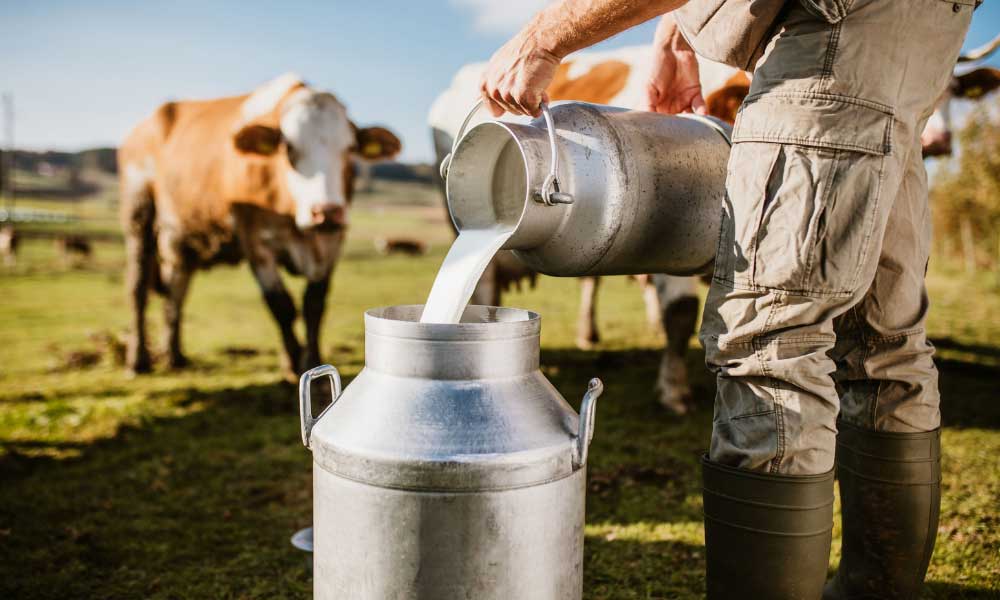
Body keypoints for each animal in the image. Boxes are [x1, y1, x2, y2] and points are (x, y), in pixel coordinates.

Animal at [123, 74, 404, 376]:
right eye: (288, 148)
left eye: (350, 149)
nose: (326, 211)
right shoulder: (255, 240)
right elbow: (281, 304)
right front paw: (292, 362)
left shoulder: (332, 241)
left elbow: (314, 303)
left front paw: (312, 358)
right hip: (139, 215)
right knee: (138, 289)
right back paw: (138, 360)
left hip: (182, 240)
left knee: (177, 291)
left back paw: (175, 355)